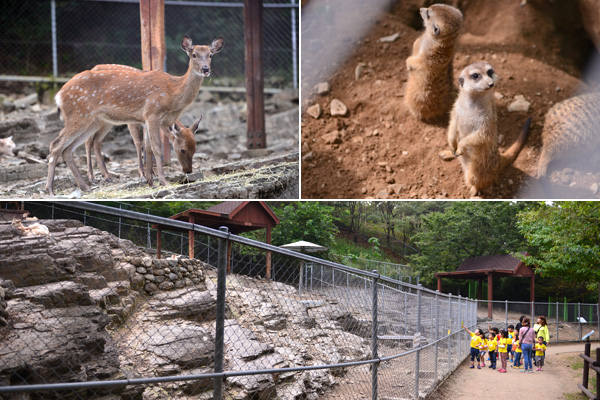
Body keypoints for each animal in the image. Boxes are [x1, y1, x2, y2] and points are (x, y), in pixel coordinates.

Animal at [44, 36, 223, 195]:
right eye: (194, 54)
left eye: (210, 55)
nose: (206, 69)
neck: (173, 93)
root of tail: (59, 95)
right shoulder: (152, 114)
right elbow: (156, 148)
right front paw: (162, 181)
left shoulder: (147, 119)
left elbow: (148, 147)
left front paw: (151, 181)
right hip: (79, 114)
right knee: (56, 144)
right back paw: (50, 189)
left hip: (93, 120)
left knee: (70, 148)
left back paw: (86, 187)